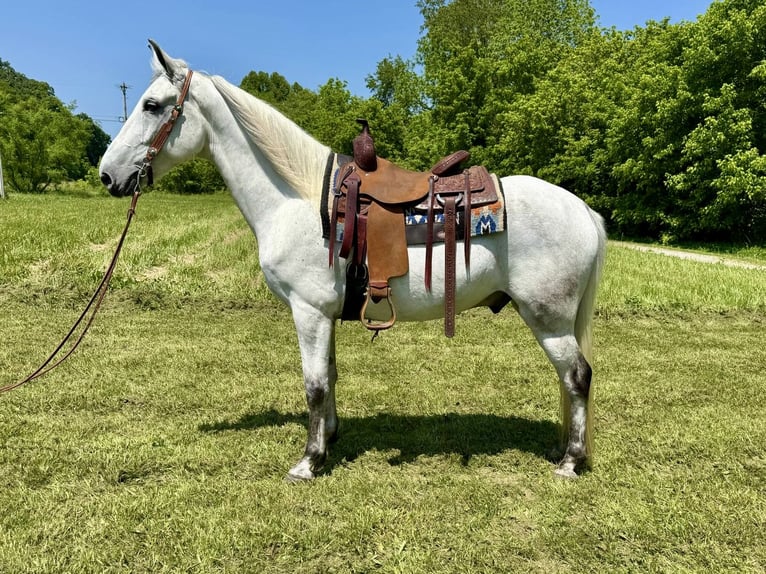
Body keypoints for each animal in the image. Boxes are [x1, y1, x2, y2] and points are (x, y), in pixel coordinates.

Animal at [99, 41, 607, 481]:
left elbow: (314, 384)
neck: (298, 200)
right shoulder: (324, 313)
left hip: (549, 319)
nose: (107, 175)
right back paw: (563, 450)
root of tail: (583, 210)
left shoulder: (308, 310)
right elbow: (330, 375)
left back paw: (571, 462)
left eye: (152, 105)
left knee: (577, 376)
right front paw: (331, 436)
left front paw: (309, 461)